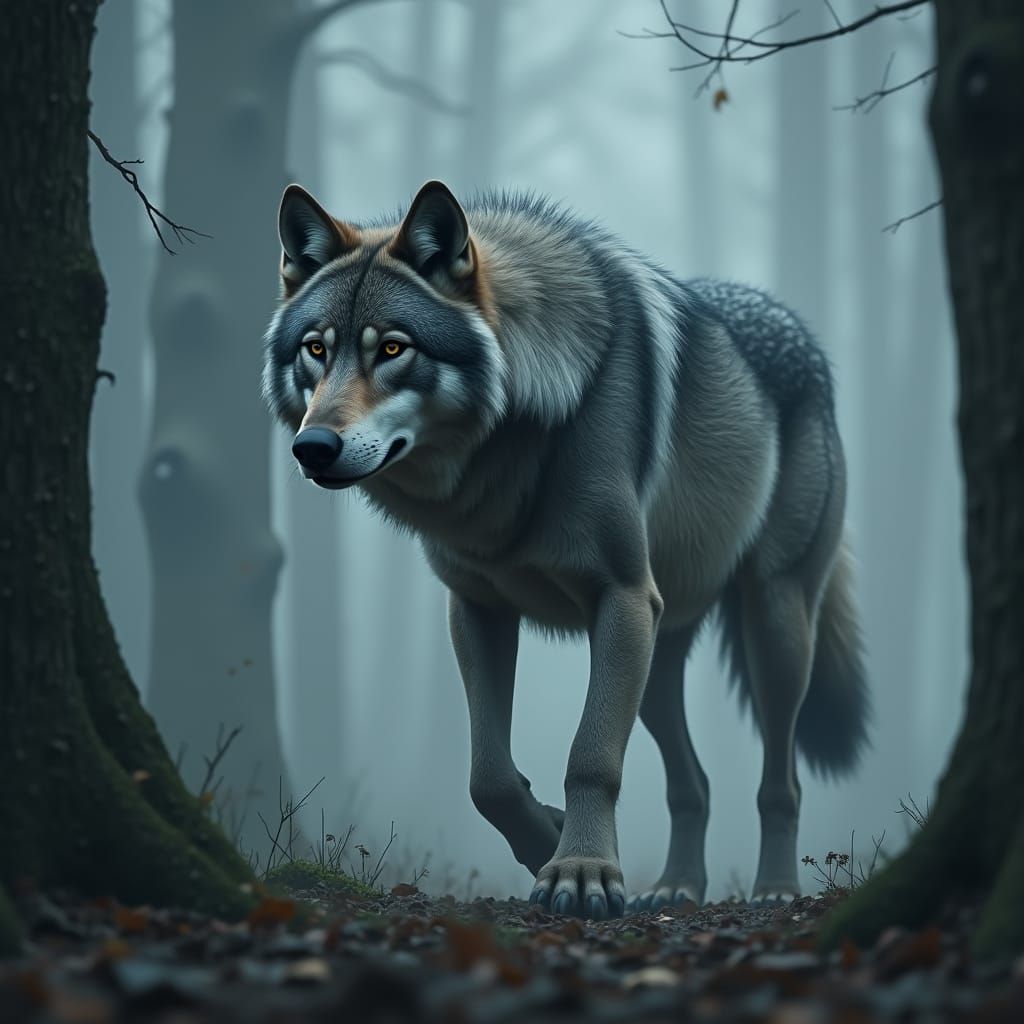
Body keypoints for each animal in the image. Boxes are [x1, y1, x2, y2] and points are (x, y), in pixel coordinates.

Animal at [263, 179, 870, 919]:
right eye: (316, 350)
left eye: (394, 350)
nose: (312, 448)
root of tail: (802, 332)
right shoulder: (477, 608)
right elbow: (487, 777)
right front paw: (545, 839)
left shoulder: (622, 597)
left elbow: (592, 757)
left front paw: (581, 873)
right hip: (659, 658)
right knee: (691, 782)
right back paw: (676, 887)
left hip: (771, 627)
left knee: (781, 779)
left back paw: (776, 889)